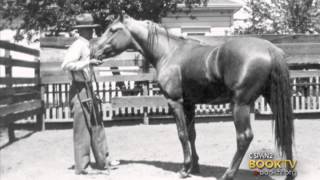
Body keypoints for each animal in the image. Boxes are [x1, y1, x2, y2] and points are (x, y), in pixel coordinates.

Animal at [90, 14, 296, 180]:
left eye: (113, 30)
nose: (93, 51)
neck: (169, 53)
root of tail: (271, 49)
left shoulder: (175, 103)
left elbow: (182, 134)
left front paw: (184, 169)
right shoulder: (189, 104)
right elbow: (191, 134)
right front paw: (195, 167)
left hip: (240, 105)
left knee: (244, 137)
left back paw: (228, 174)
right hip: (272, 100)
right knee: (285, 132)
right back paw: (289, 174)